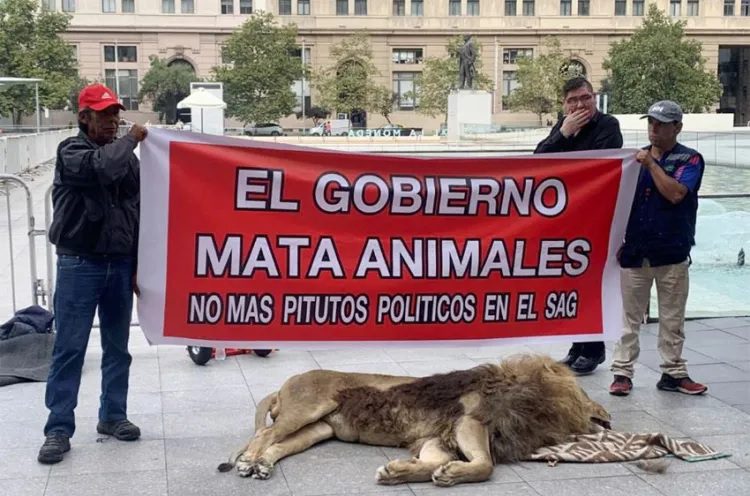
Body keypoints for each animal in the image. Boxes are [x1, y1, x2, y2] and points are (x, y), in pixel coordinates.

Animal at [219, 354, 612, 486]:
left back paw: (263, 466)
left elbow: (432, 463)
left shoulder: (439, 439)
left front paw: (399, 472)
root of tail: (286, 383)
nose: (607, 422)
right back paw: (249, 462)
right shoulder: (469, 421)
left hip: (317, 430)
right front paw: (453, 475)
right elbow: (486, 464)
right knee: (263, 436)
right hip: (306, 409)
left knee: (277, 445)